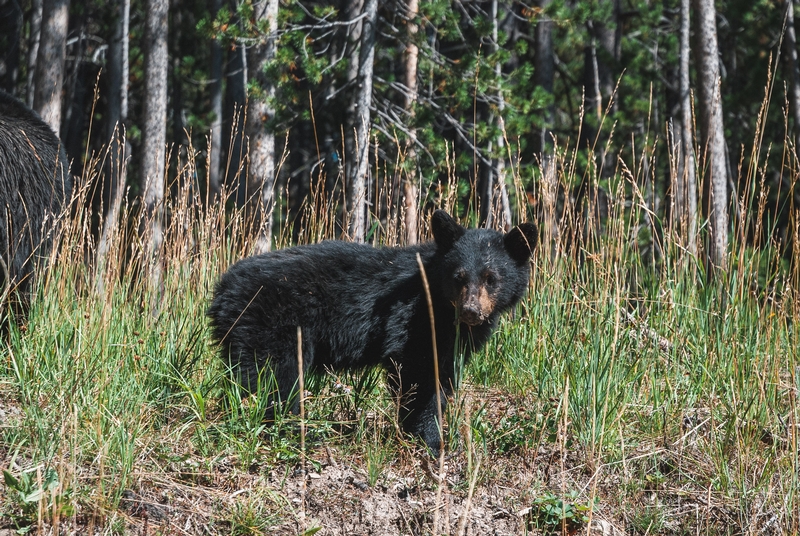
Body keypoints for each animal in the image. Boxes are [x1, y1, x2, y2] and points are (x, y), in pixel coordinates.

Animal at [209, 210, 536, 452]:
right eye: (459, 276)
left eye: (491, 278)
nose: (470, 311)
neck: (439, 302)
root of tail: (223, 288)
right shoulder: (411, 320)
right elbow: (419, 377)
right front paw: (430, 438)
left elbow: (442, 374)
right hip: (273, 326)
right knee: (273, 378)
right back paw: (298, 431)